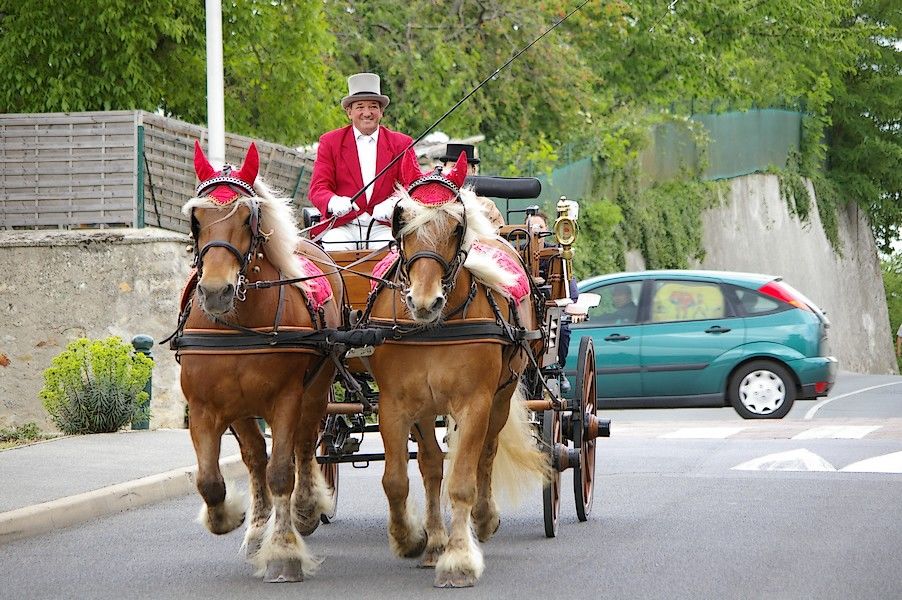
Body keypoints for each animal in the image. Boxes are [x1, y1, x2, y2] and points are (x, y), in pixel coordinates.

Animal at [173, 141, 346, 580]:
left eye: (247, 217)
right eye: (196, 218)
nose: (216, 292)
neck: (240, 326)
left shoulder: (285, 399)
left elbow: (282, 471)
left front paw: (284, 549)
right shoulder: (206, 407)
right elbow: (211, 479)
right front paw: (230, 518)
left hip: (316, 388)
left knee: (304, 444)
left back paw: (305, 508)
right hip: (241, 408)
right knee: (254, 456)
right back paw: (256, 528)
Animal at [362, 150, 552, 584]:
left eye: (456, 227)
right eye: (401, 220)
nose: (423, 301)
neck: (436, 327)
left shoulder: (475, 403)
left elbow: (464, 479)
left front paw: (460, 557)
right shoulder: (396, 405)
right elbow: (397, 478)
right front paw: (412, 539)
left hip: (502, 394)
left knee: (486, 453)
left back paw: (482, 520)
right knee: (432, 466)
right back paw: (434, 541)